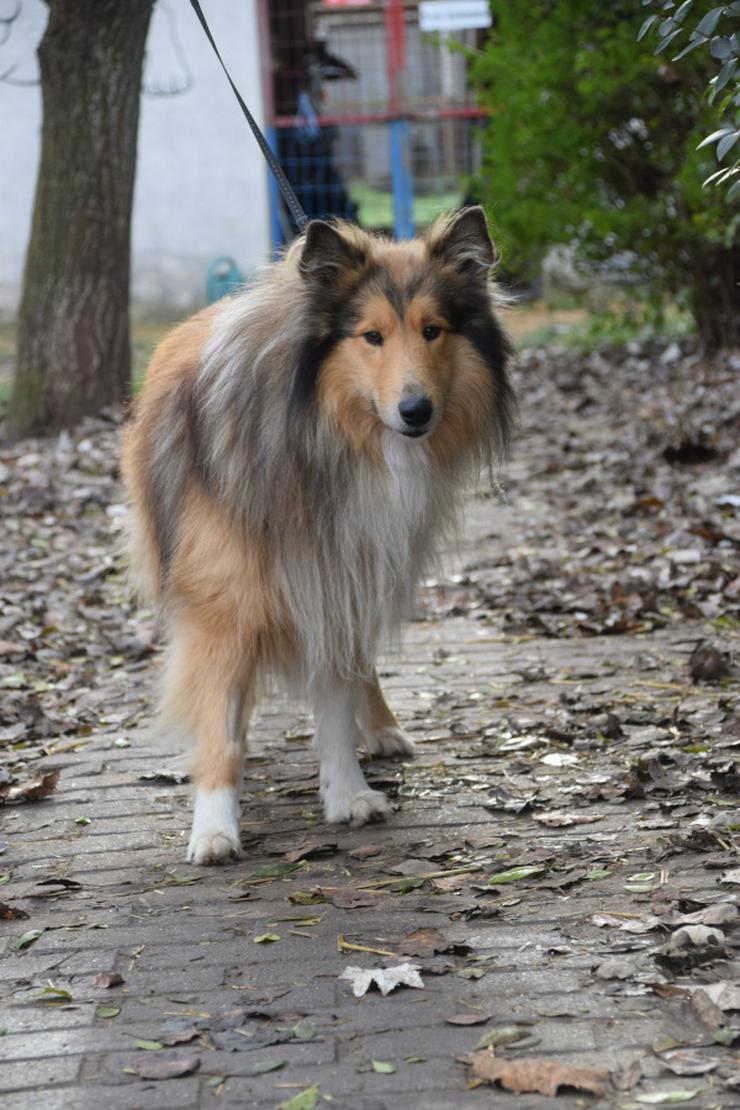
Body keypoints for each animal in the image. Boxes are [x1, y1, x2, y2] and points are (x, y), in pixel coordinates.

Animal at [123, 209, 514, 865]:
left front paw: (348, 794)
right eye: (371, 336)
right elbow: (220, 722)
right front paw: (214, 827)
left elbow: (335, 707)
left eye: (432, 330)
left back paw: (380, 727)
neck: (321, 439)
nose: (416, 411)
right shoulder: (223, 604)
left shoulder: (336, 578)